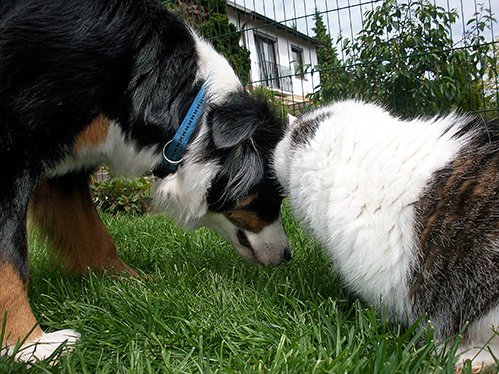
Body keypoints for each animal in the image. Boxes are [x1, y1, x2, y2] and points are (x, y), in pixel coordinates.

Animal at [0, 0, 292, 362]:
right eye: (273, 196)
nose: (288, 256)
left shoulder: (66, 172)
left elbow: (94, 234)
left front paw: (132, 284)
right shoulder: (13, 147)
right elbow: (11, 256)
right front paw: (29, 345)